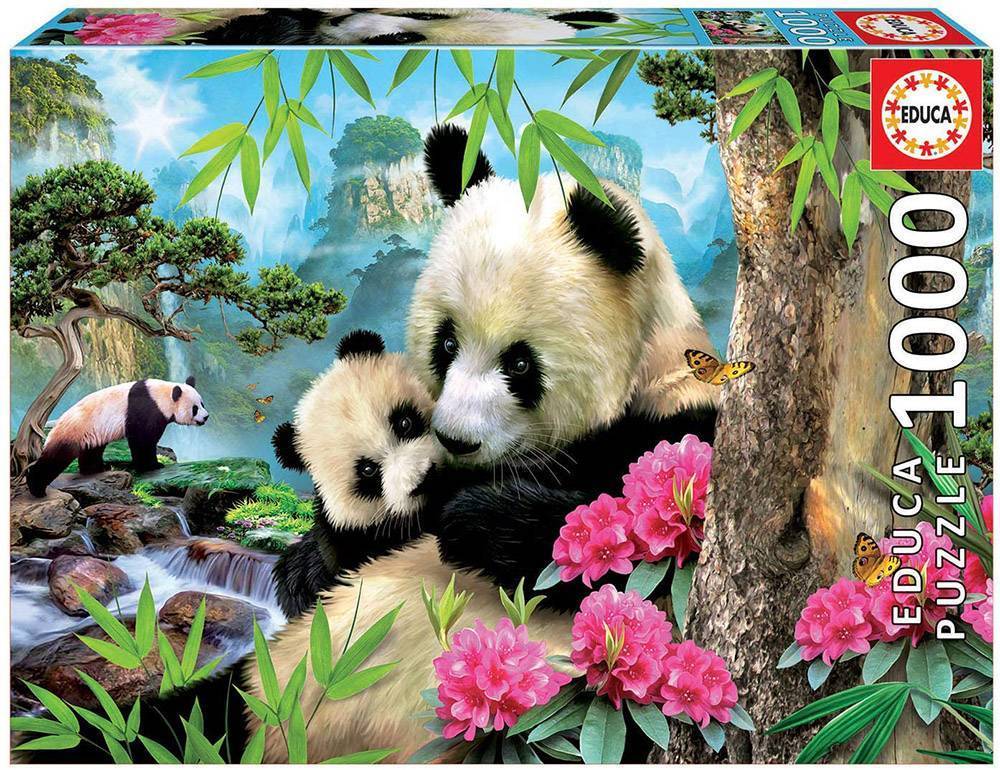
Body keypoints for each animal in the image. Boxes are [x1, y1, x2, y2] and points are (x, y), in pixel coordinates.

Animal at [25, 377, 207, 498]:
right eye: (195, 408)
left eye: (202, 403)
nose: (206, 417)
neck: (162, 395)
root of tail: (55, 426)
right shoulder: (146, 408)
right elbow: (142, 439)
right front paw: (153, 465)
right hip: (74, 430)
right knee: (56, 458)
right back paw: (37, 488)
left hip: (91, 432)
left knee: (92, 451)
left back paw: (97, 469)